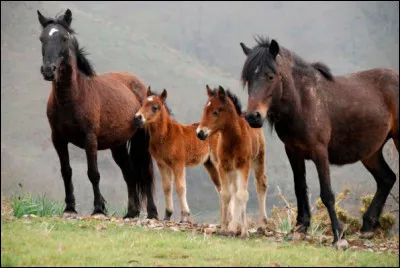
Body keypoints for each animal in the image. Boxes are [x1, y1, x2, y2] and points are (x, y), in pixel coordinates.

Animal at [36, 8, 158, 220]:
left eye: (64, 38)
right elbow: (66, 171)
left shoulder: (90, 139)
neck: (73, 98)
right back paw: (131, 212)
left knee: (145, 174)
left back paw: (151, 213)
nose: (48, 70)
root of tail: (142, 86)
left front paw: (99, 208)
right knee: (130, 174)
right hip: (117, 146)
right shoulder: (58, 139)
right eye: (42, 38)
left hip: (142, 141)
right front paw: (70, 207)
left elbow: (93, 173)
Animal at [134, 87, 222, 222]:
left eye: (155, 107)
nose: (138, 117)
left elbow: (180, 187)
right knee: (220, 186)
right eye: (142, 104)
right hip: (209, 163)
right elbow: (167, 187)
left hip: (217, 160)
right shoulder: (162, 164)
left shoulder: (178, 163)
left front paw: (185, 216)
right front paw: (167, 215)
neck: (166, 136)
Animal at [239, 36, 398, 247]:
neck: (303, 102)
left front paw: (338, 236)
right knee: (387, 179)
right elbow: (300, 188)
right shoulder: (293, 151)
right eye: (248, 78)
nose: (253, 116)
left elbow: (327, 194)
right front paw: (300, 228)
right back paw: (368, 226)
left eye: (271, 76)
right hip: (371, 152)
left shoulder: (320, 152)